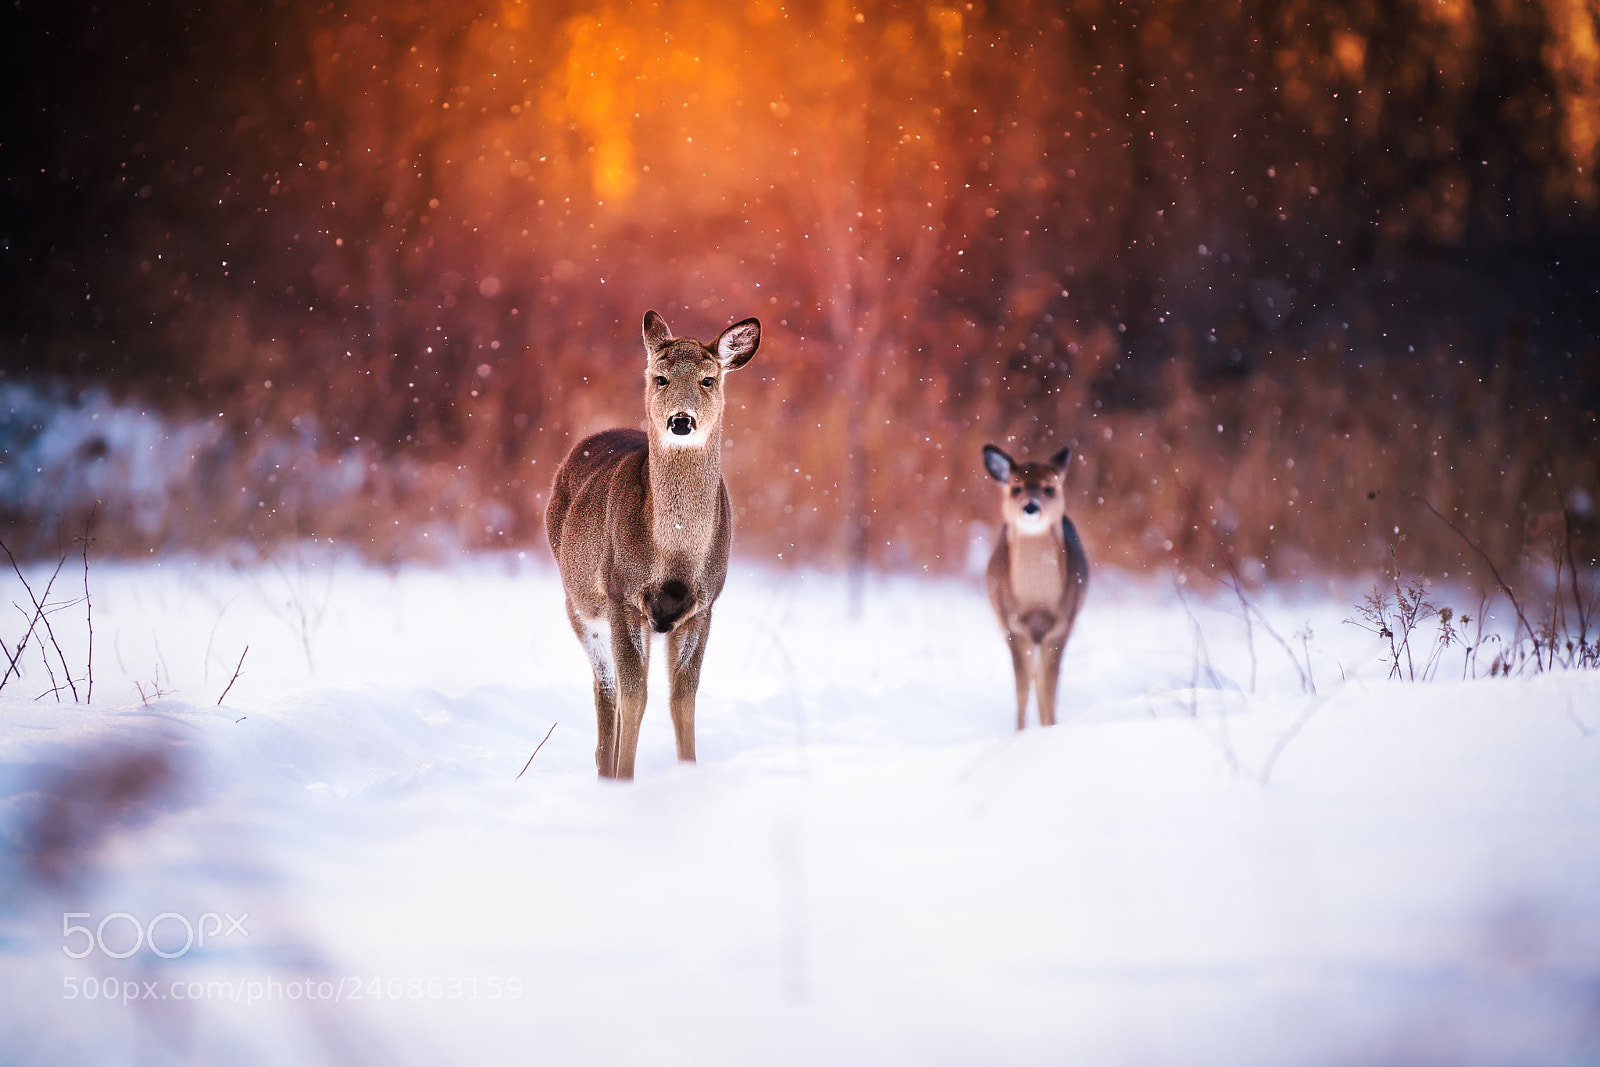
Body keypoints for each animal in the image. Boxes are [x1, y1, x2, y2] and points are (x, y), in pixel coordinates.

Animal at [545, 310, 761, 779]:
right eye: (660, 377)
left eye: (708, 379)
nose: (681, 421)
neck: (675, 555)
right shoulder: (622, 595)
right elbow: (634, 697)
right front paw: (625, 779)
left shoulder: (704, 605)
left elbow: (683, 700)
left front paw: (689, 772)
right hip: (579, 604)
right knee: (606, 688)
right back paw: (605, 770)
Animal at [982, 444, 1090, 730]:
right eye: (1016, 487)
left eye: (1049, 488)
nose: (1030, 506)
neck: (1037, 603)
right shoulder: (1013, 627)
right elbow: (1022, 689)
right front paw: (1020, 733)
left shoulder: (1061, 627)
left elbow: (1048, 686)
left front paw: (1049, 728)